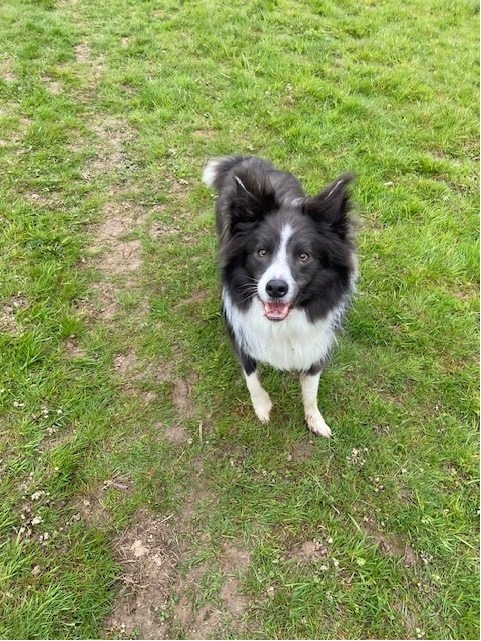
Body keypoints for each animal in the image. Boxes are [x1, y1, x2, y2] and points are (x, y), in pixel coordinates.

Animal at [202, 156, 356, 438]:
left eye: (304, 256)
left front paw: (315, 420)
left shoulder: (317, 342)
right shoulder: (239, 331)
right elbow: (251, 376)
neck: (282, 323)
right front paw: (262, 407)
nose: (275, 288)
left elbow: (311, 389)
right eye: (262, 252)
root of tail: (250, 159)